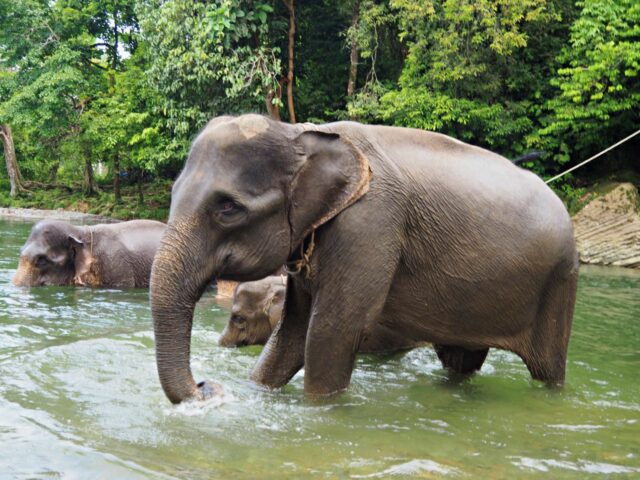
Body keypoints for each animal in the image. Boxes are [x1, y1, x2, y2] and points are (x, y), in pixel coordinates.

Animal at [151, 114, 580, 404]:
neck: (302, 133)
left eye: (228, 208)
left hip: (559, 282)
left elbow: (331, 331)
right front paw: (257, 392)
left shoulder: (370, 224)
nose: (205, 387)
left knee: (547, 369)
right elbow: (292, 332)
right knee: (459, 360)